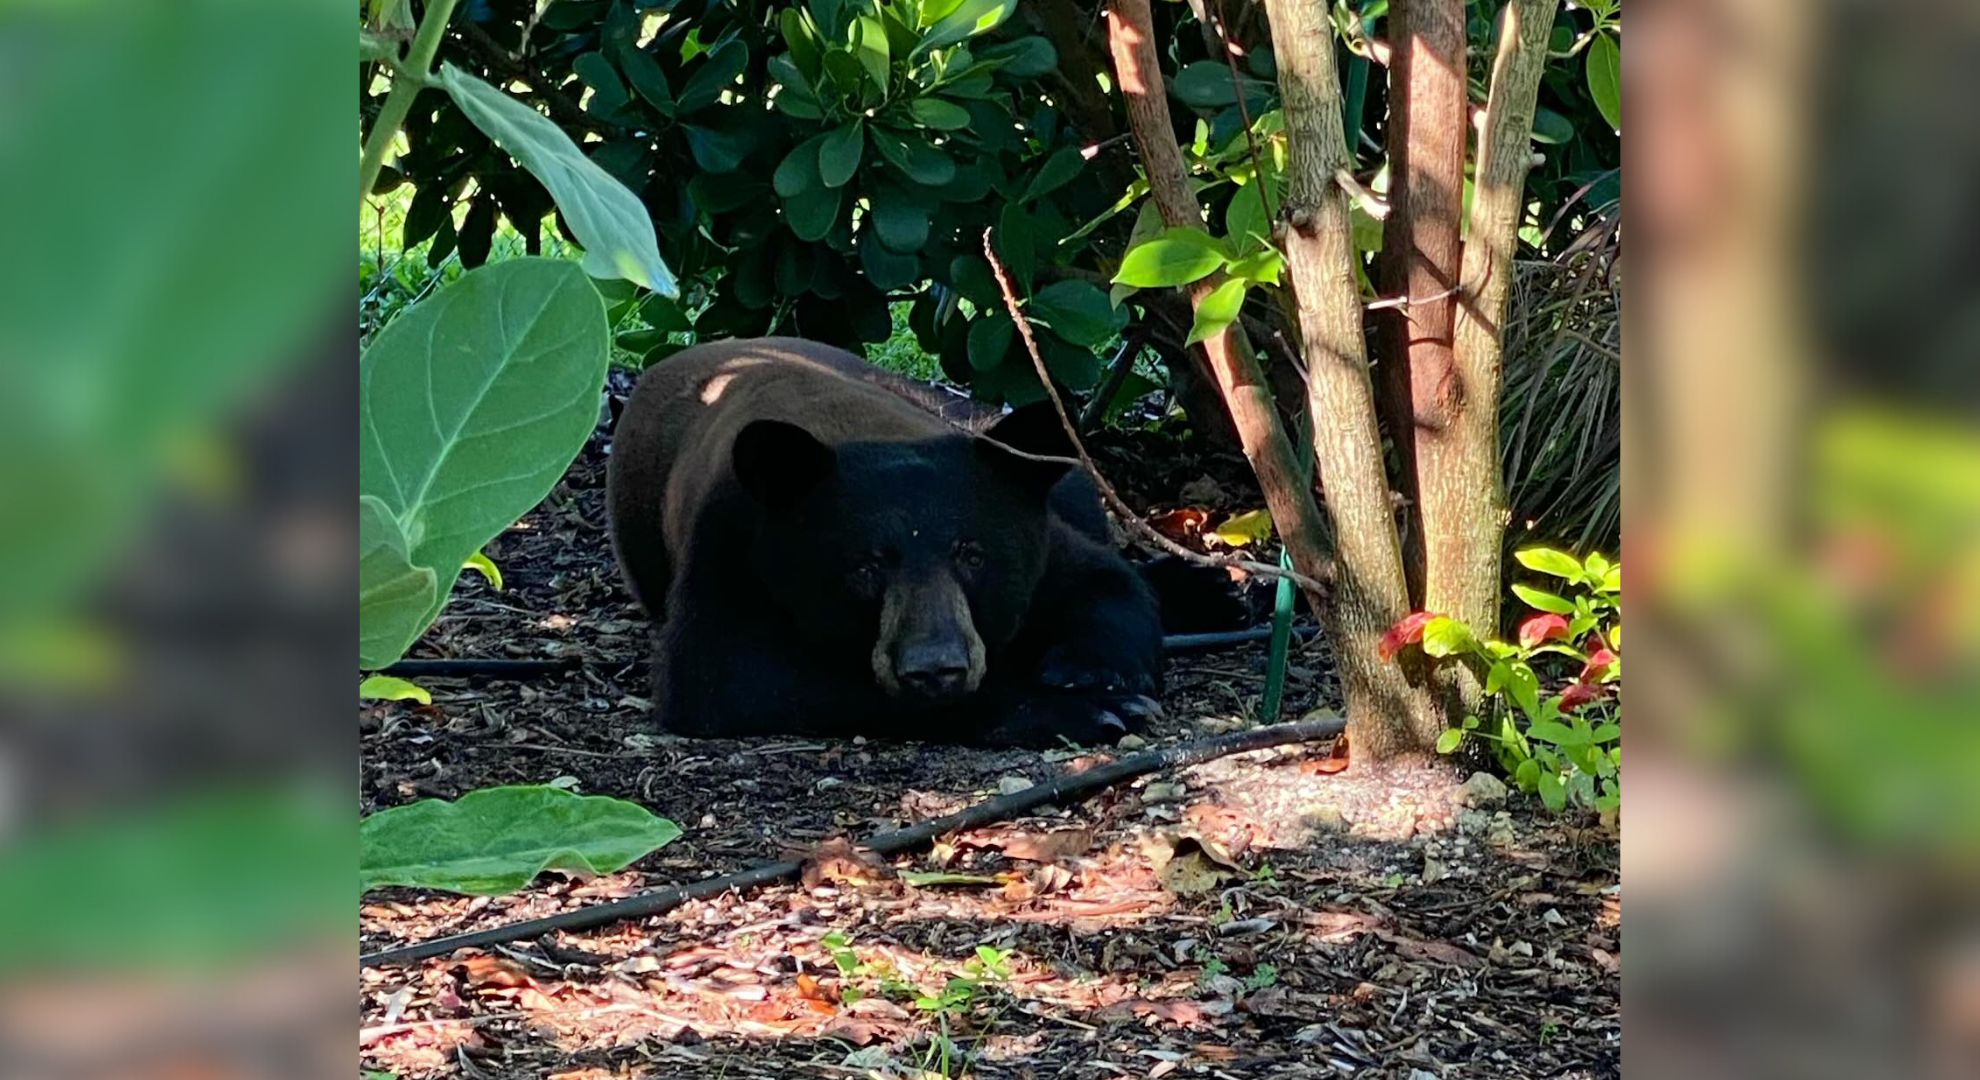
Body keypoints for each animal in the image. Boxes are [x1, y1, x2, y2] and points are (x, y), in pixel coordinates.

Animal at [601, 334, 1156, 741]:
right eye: (864, 568)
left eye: (972, 555)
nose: (935, 669)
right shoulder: (729, 550)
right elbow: (730, 678)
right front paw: (1084, 710)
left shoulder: (1040, 536)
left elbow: (1105, 580)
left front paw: (1088, 671)